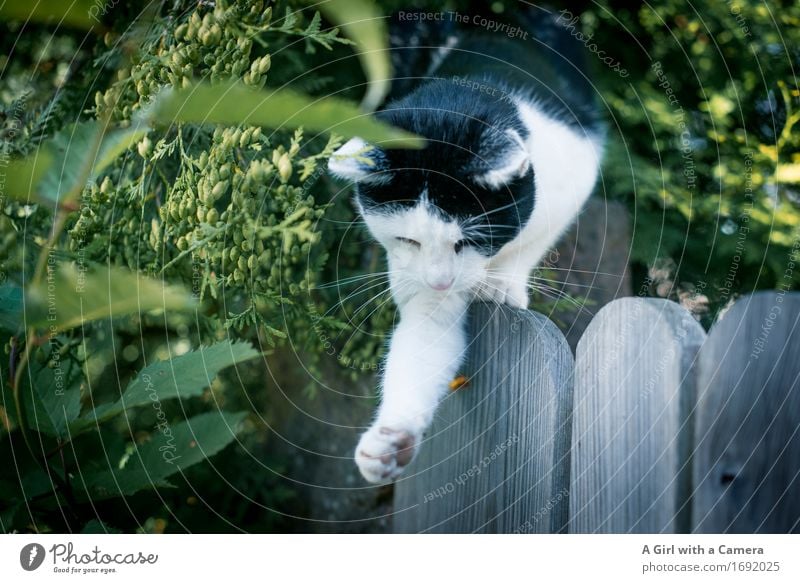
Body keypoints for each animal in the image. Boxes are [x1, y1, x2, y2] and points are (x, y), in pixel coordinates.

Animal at [328, 9, 604, 484]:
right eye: (407, 239)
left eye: (470, 240)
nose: (440, 282)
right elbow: (424, 339)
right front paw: (389, 441)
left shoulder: (577, 173)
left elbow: (533, 241)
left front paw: (503, 282)